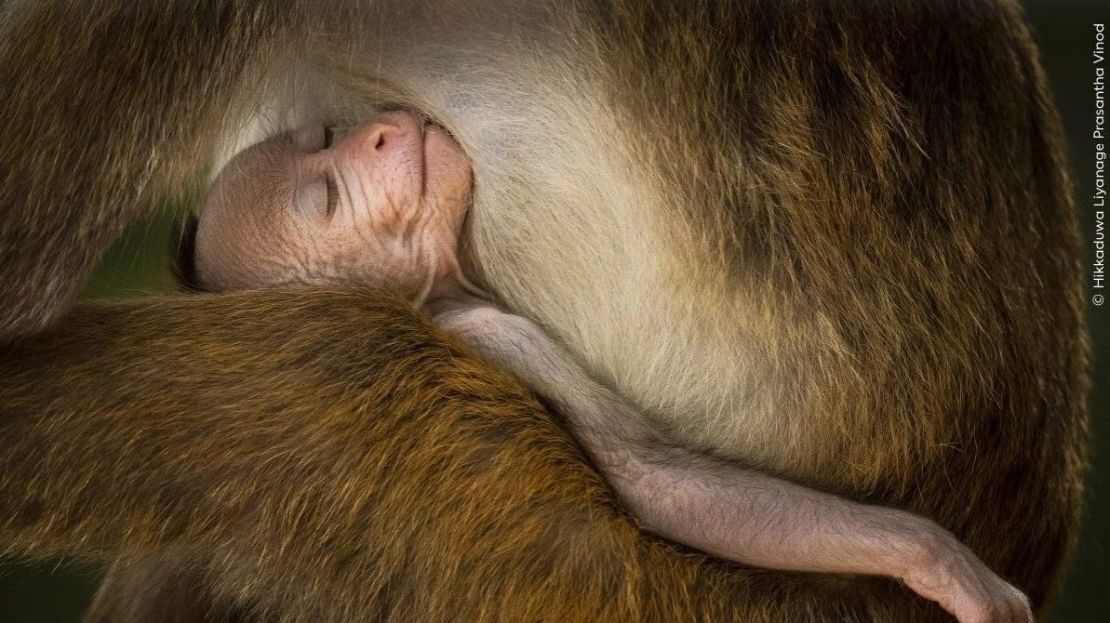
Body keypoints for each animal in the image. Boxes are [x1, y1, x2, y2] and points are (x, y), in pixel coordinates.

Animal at [0, 1, 1092, 621]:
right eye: (325, 196)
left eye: (324, 141)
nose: (382, 132)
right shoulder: (497, 336)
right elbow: (653, 480)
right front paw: (934, 558)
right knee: (342, 366)